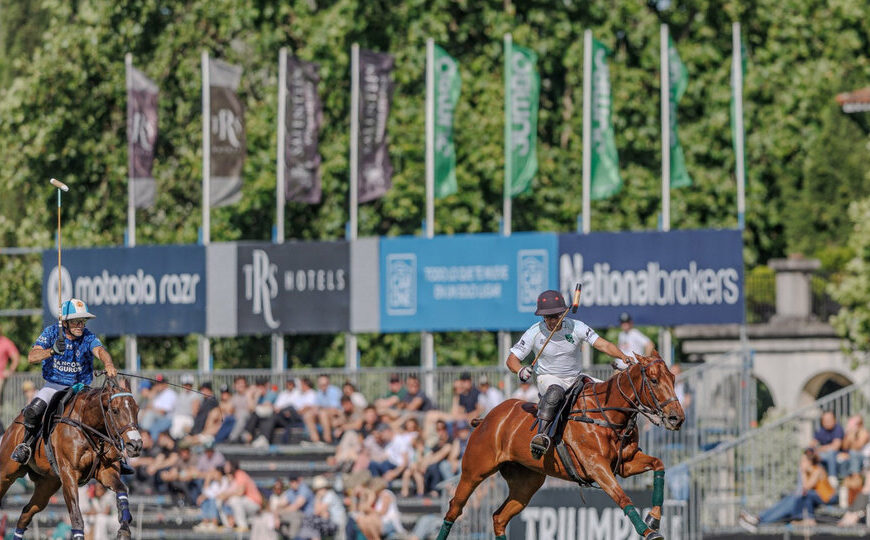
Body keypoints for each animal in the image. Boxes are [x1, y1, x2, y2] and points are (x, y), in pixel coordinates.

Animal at [0, 376, 141, 540]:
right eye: (115, 410)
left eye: (137, 409)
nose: (136, 445)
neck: (88, 426)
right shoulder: (69, 474)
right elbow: (76, 516)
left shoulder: (105, 471)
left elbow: (122, 490)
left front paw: (124, 530)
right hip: (6, 472)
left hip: (47, 484)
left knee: (26, 514)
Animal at [440, 354, 684, 540]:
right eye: (653, 380)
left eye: (673, 378)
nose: (677, 418)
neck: (607, 414)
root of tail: (487, 418)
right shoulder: (596, 466)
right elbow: (622, 497)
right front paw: (648, 532)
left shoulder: (625, 463)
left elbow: (658, 464)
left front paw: (654, 518)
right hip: (474, 471)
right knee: (454, 509)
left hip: (526, 483)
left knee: (499, 517)